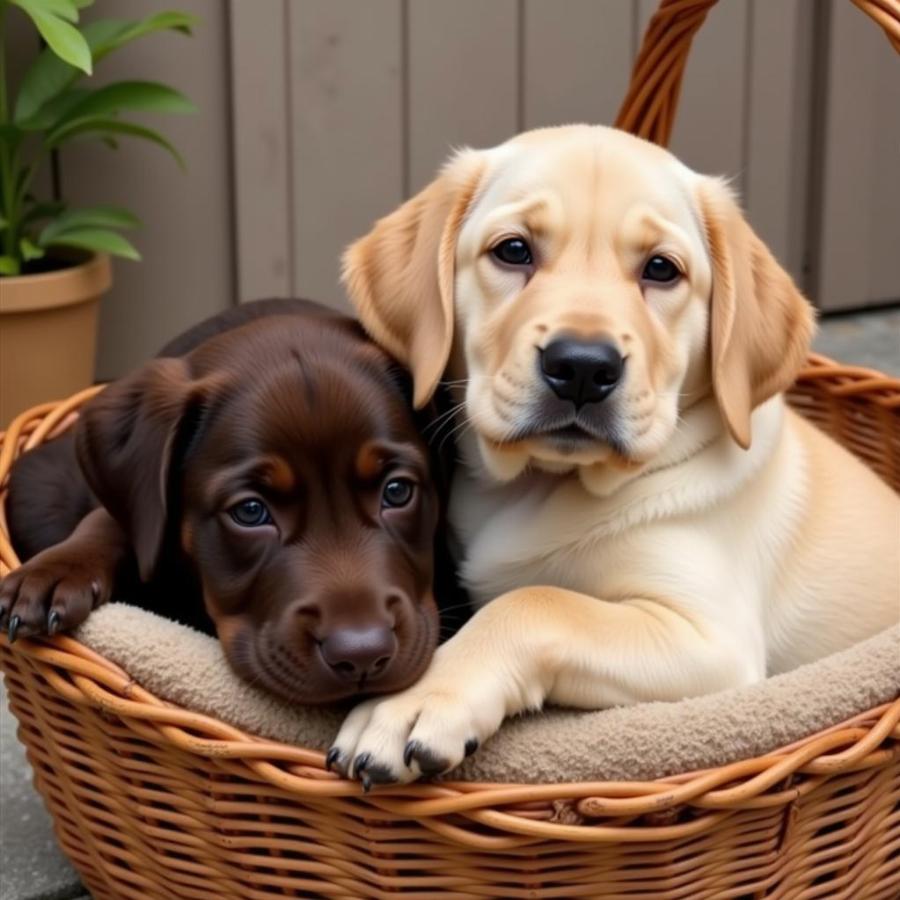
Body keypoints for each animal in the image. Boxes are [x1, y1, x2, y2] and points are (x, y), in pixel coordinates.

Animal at [330, 123, 900, 784]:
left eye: (661, 269)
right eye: (513, 251)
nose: (582, 366)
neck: (549, 483)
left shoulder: (713, 642)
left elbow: (540, 602)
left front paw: (413, 700)